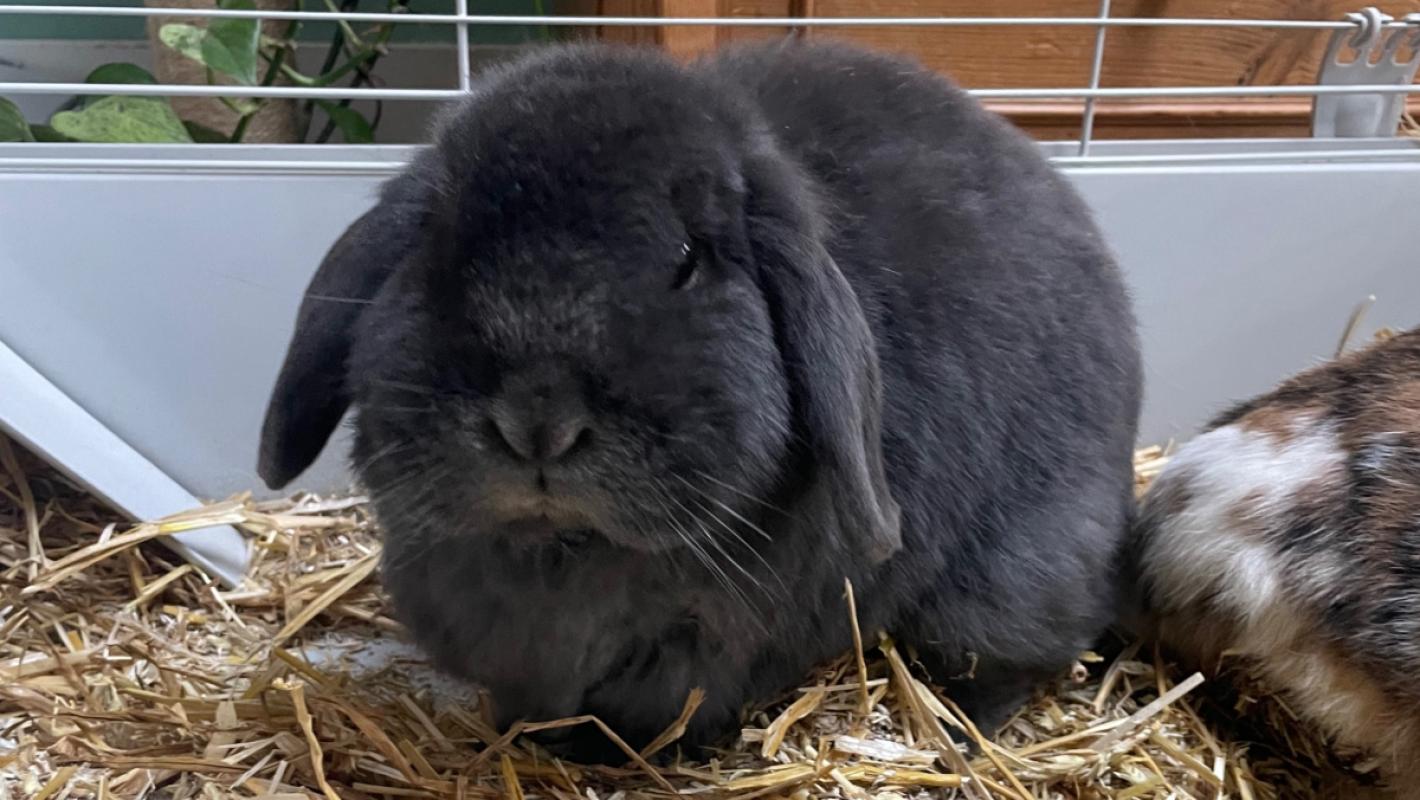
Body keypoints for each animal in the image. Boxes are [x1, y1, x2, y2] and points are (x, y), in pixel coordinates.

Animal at [257, 39, 1142, 763]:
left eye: (687, 259)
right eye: (440, 244)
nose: (537, 423)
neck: (562, 557)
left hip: (1015, 573)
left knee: (1013, 656)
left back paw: (959, 730)